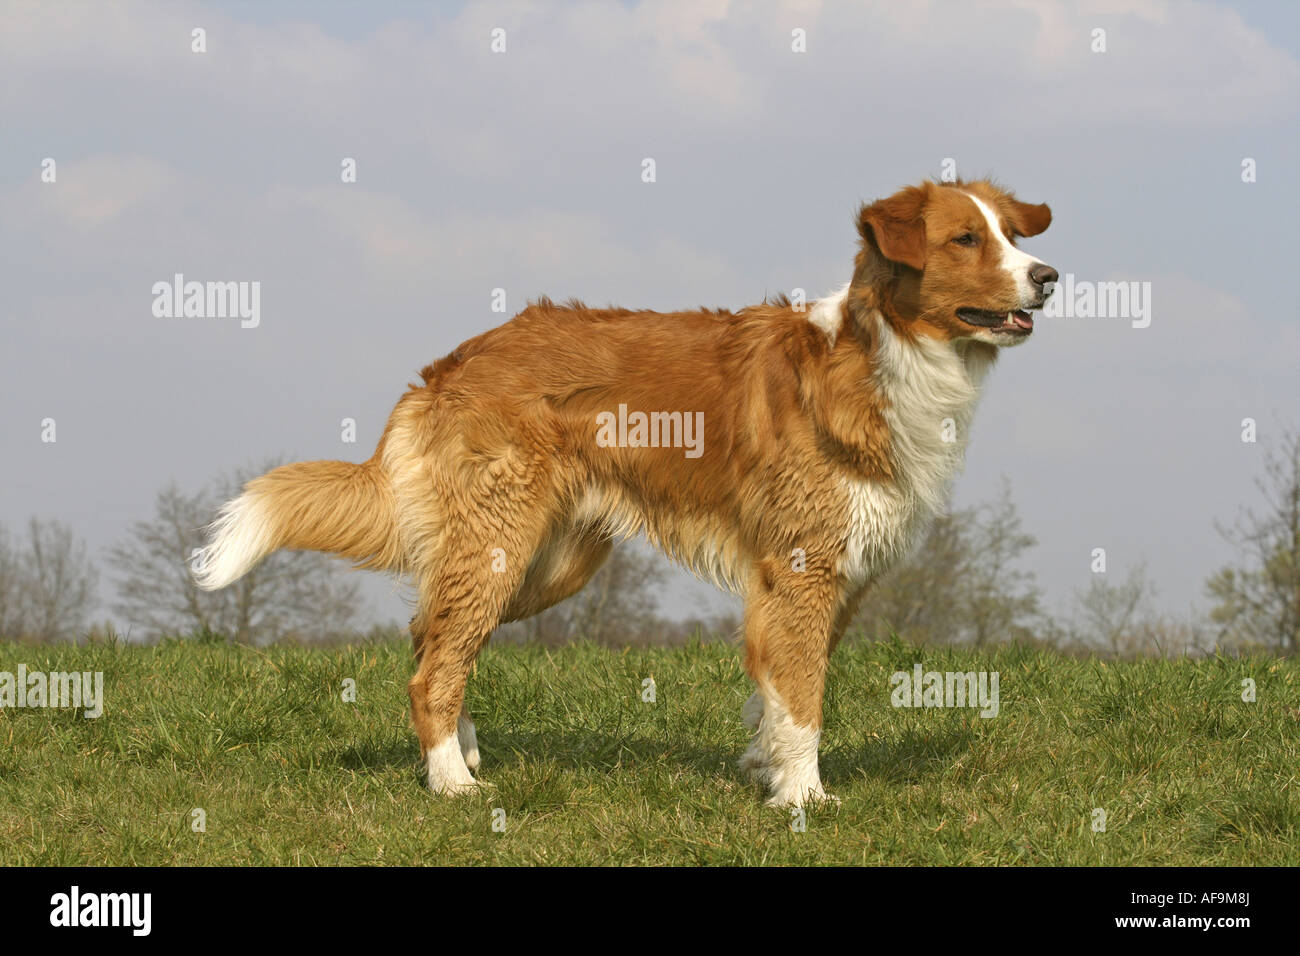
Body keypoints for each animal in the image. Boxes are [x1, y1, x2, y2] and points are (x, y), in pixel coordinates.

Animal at [200, 179, 1055, 806]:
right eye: (964, 239)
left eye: (1013, 235)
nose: (1049, 278)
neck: (889, 357)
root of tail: (453, 362)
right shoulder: (805, 566)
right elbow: (805, 696)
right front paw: (805, 802)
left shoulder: (834, 577)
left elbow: (777, 692)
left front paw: (766, 770)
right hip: (504, 543)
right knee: (432, 665)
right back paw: (451, 786)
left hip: (544, 562)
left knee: (432, 637)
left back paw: (463, 759)